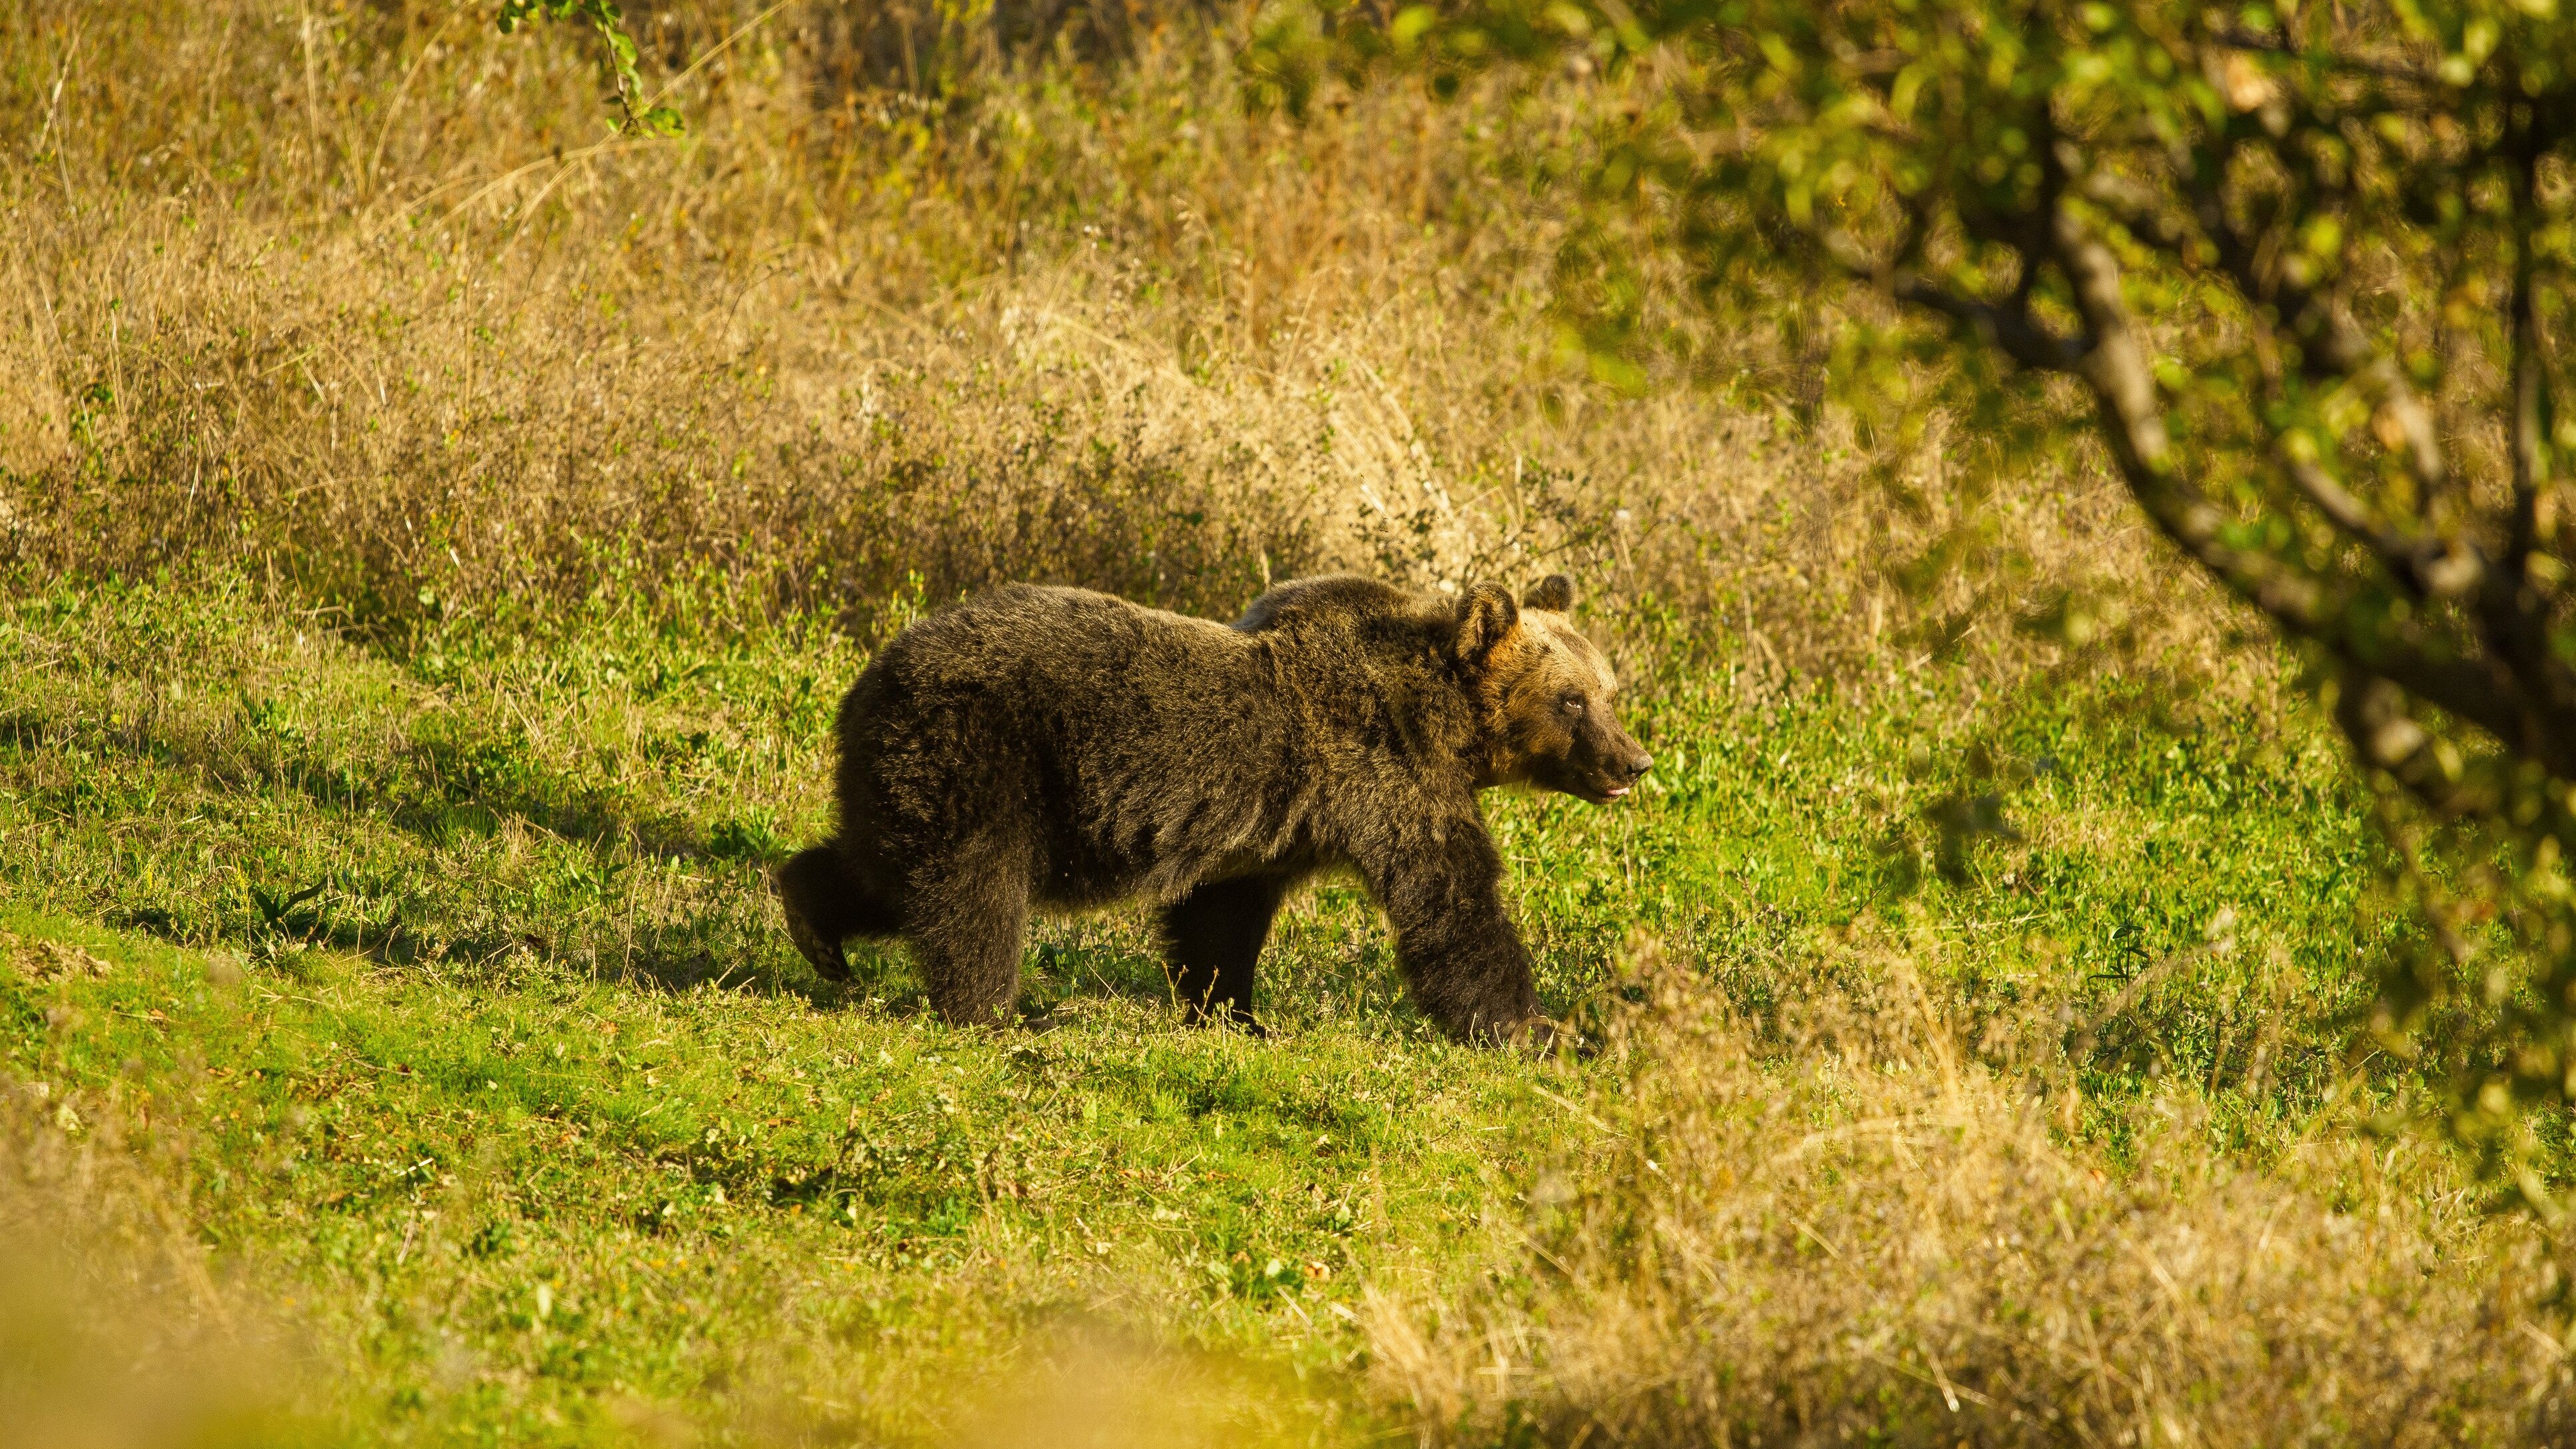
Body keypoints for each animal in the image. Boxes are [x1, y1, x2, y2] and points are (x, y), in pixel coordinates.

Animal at [773, 572, 1650, 1045]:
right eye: (1572, 699)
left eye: (1610, 689)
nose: (1635, 762)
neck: (1445, 721)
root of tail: (871, 674)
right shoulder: (1389, 779)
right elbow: (1455, 907)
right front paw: (1540, 1030)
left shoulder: (1268, 832)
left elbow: (1220, 920)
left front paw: (1236, 1013)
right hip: (986, 752)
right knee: (973, 893)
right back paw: (995, 1010)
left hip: (911, 767)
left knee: (887, 867)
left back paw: (814, 925)